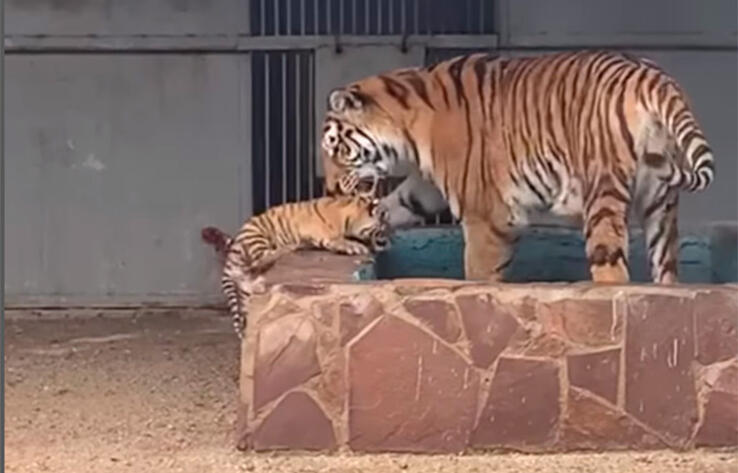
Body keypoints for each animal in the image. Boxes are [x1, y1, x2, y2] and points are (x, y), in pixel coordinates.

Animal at [211, 195, 390, 338]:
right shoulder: (324, 234)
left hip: (245, 292)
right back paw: (289, 247)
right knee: (264, 257)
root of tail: (233, 251)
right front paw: (356, 246)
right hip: (257, 236)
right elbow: (339, 240)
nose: (387, 241)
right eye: (383, 226)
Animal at [320, 50, 715, 284]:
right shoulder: (428, 187)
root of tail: (655, 79)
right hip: (660, 205)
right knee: (666, 270)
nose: (330, 189)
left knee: (614, 273)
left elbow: (479, 273)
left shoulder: (484, 214)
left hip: (603, 192)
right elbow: (397, 204)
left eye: (334, 147)